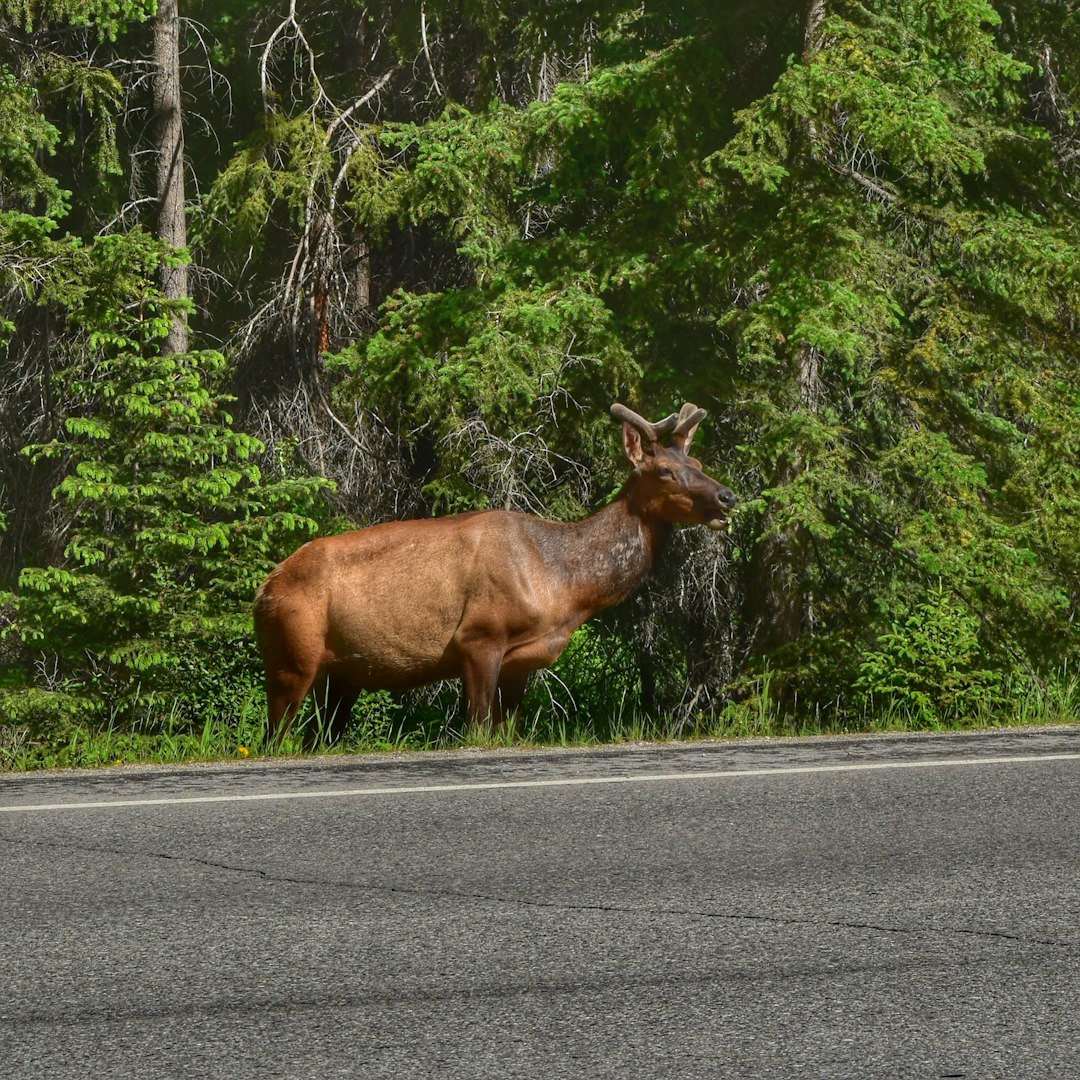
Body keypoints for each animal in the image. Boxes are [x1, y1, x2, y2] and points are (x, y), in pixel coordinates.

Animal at [257, 401, 738, 747]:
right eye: (665, 471)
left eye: (699, 465)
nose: (727, 496)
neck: (565, 590)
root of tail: (264, 589)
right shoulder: (478, 636)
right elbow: (476, 729)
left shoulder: (520, 661)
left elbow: (505, 729)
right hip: (291, 655)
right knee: (274, 736)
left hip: (342, 676)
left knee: (317, 737)